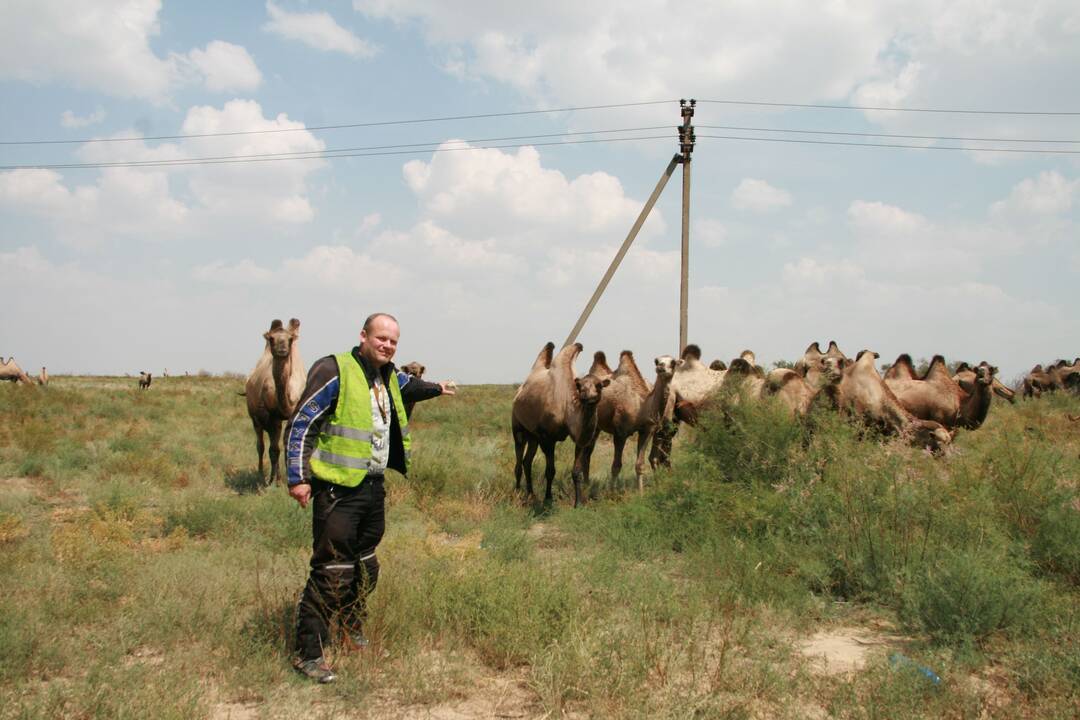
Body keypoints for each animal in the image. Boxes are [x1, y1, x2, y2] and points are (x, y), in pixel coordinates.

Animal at [246, 319, 306, 483]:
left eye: (290, 339)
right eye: (271, 338)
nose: (282, 350)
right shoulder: (272, 417)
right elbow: (273, 449)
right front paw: (275, 481)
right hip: (255, 418)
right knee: (261, 445)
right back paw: (261, 473)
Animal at [511, 343, 613, 507]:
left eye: (599, 385)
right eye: (580, 386)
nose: (588, 397)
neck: (566, 409)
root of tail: (519, 392)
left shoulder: (580, 438)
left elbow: (577, 472)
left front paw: (578, 503)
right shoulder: (547, 438)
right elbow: (550, 471)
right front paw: (548, 499)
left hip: (533, 435)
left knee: (527, 462)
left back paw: (531, 494)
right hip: (518, 427)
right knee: (519, 461)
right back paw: (518, 493)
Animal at [591, 349, 673, 496]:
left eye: (673, 362)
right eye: (657, 361)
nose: (661, 367)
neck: (641, 405)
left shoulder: (647, 430)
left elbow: (640, 464)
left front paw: (641, 493)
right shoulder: (620, 433)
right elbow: (616, 466)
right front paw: (612, 494)